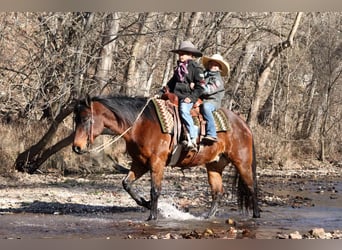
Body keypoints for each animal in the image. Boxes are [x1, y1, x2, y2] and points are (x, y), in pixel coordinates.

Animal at [71, 94, 260, 220]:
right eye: (76, 120)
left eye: (86, 119)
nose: (76, 147)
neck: (140, 125)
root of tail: (243, 124)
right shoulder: (140, 163)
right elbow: (127, 184)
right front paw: (146, 203)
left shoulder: (157, 163)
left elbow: (155, 190)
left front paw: (152, 216)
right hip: (214, 165)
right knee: (218, 192)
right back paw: (208, 217)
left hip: (242, 162)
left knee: (251, 187)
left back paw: (256, 215)